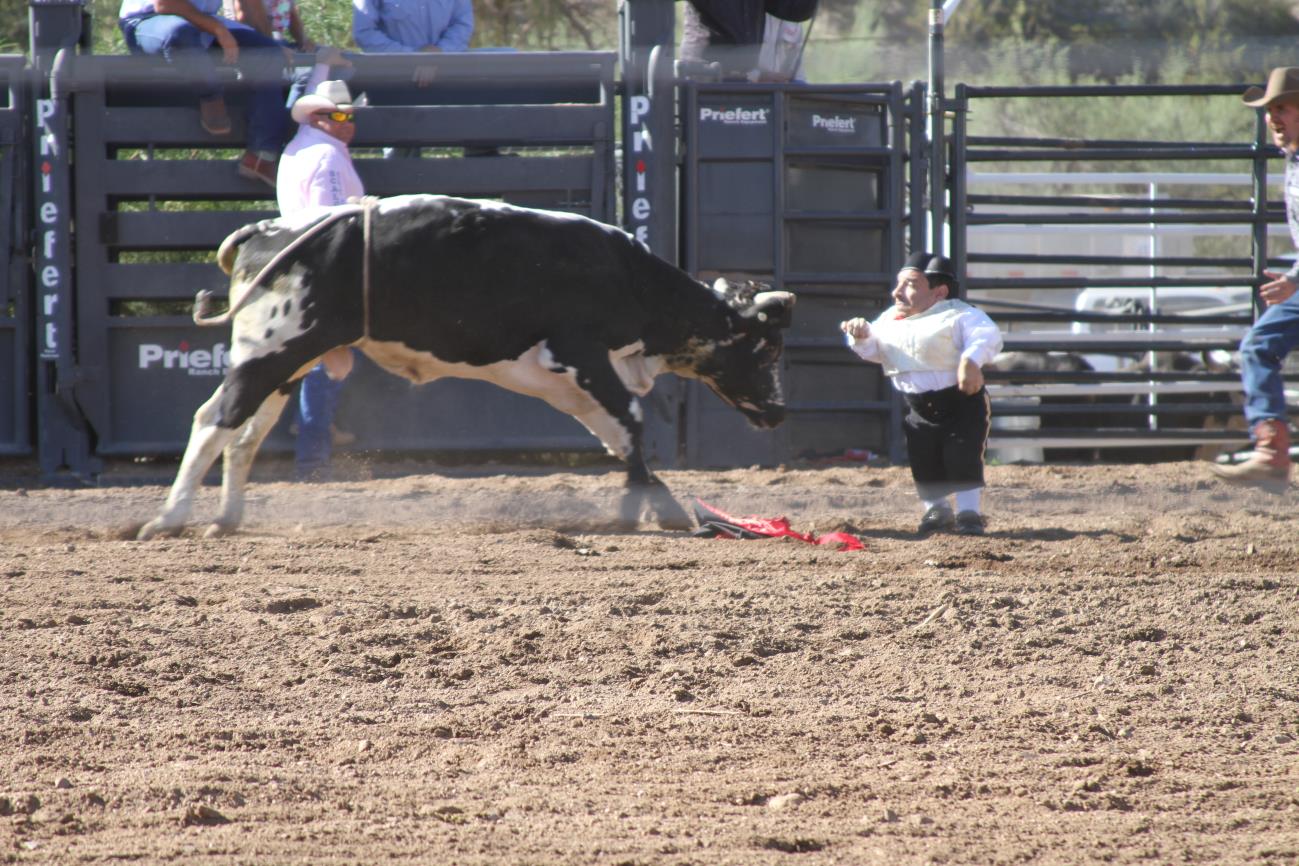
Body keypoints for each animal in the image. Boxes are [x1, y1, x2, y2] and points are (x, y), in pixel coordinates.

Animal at [137, 194, 794, 542]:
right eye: (765, 350)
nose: (781, 410)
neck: (625, 279)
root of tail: (268, 229)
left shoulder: (574, 381)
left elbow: (620, 437)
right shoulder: (580, 358)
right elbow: (631, 429)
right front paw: (662, 510)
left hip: (289, 360)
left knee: (245, 435)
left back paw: (226, 519)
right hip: (271, 351)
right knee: (214, 419)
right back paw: (166, 519)